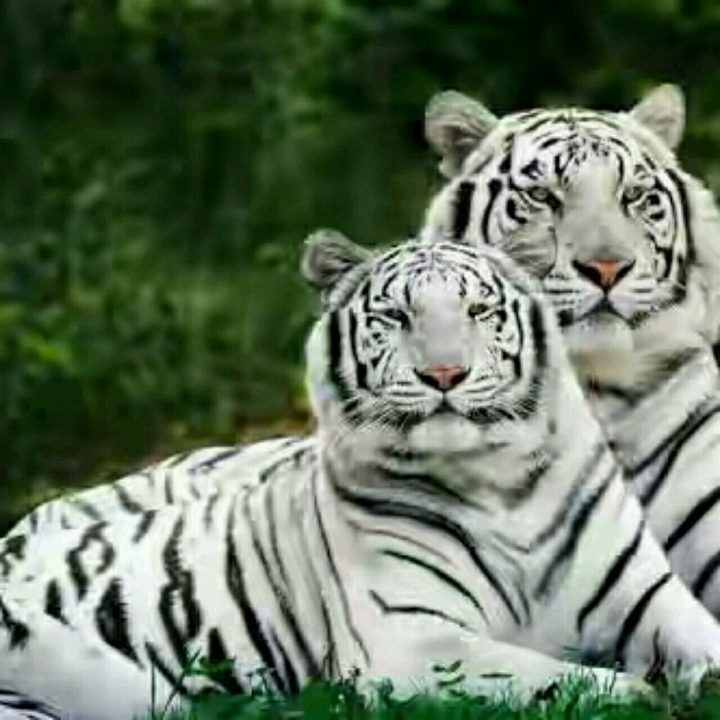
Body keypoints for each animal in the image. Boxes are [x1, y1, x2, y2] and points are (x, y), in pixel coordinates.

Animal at [4, 233, 720, 720]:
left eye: (479, 311)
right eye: (396, 318)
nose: (444, 375)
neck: (500, 482)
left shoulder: (648, 597)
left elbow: (705, 642)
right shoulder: (408, 639)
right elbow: (539, 674)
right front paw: (637, 694)